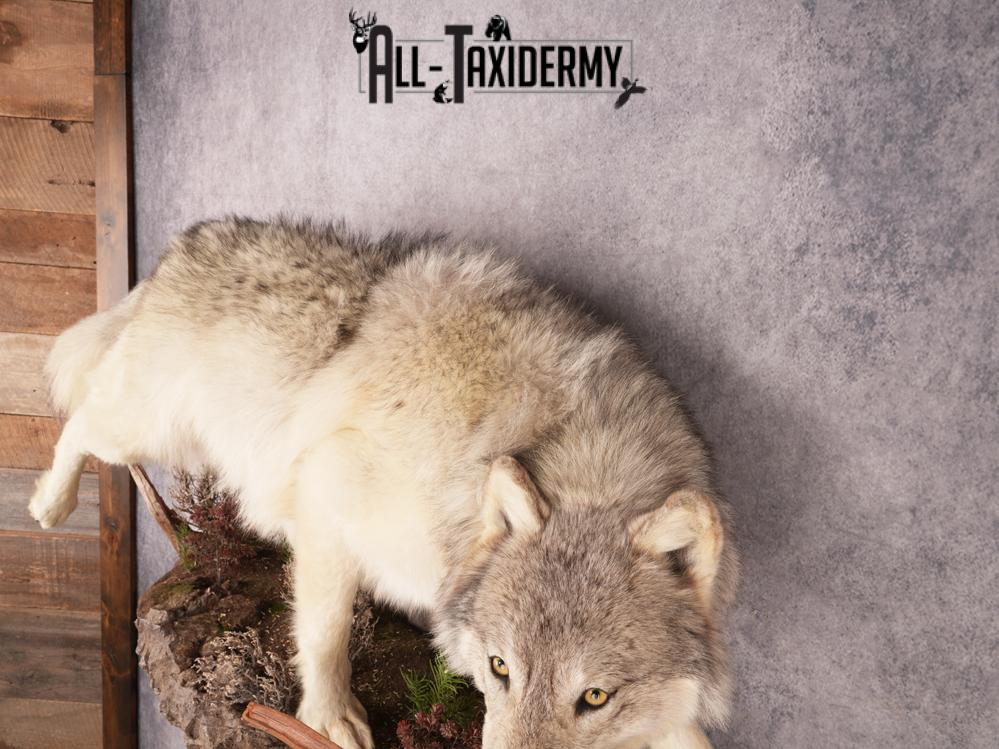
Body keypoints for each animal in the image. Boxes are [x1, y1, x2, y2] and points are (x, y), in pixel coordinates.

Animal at [29, 217, 737, 749]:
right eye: (500, 668)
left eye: (595, 696)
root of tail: (190, 241)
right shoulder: (328, 488)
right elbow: (326, 630)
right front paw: (326, 717)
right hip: (142, 430)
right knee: (78, 418)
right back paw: (48, 504)